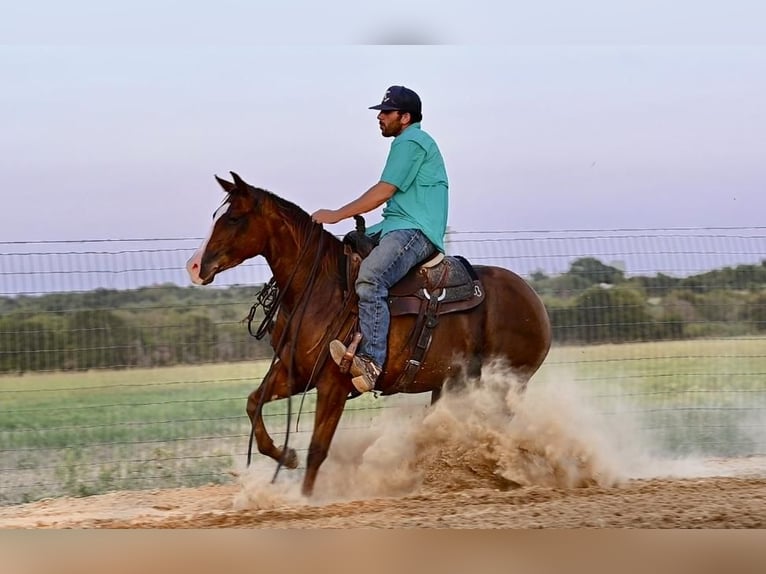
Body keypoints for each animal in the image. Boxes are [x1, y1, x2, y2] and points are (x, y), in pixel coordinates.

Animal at [189, 172, 556, 500]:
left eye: (234, 218)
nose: (194, 267)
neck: (319, 289)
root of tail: (533, 299)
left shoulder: (333, 383)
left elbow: (318, 449)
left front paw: (306, 500)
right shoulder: (296, 372)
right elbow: (254, 404)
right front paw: (286, 457)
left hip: (503, 385)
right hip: (452, 384)